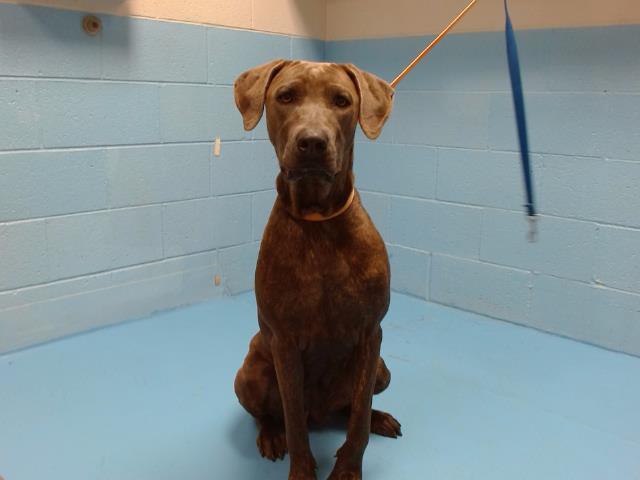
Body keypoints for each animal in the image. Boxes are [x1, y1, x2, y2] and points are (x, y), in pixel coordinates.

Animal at [232, 61, 398, 480]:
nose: (312, 143)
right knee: (270, 415)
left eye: (342, 101)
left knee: (352, 409)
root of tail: (321, 414)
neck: (319, 219)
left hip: (382, 370)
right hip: (250, 372)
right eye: (286, 96)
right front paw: (302, 469)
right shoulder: (285, 343)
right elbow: (294, 424)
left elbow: (357, 422)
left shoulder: (371, 335)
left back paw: (379, 417)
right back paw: (270, 435)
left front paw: (348, 469)